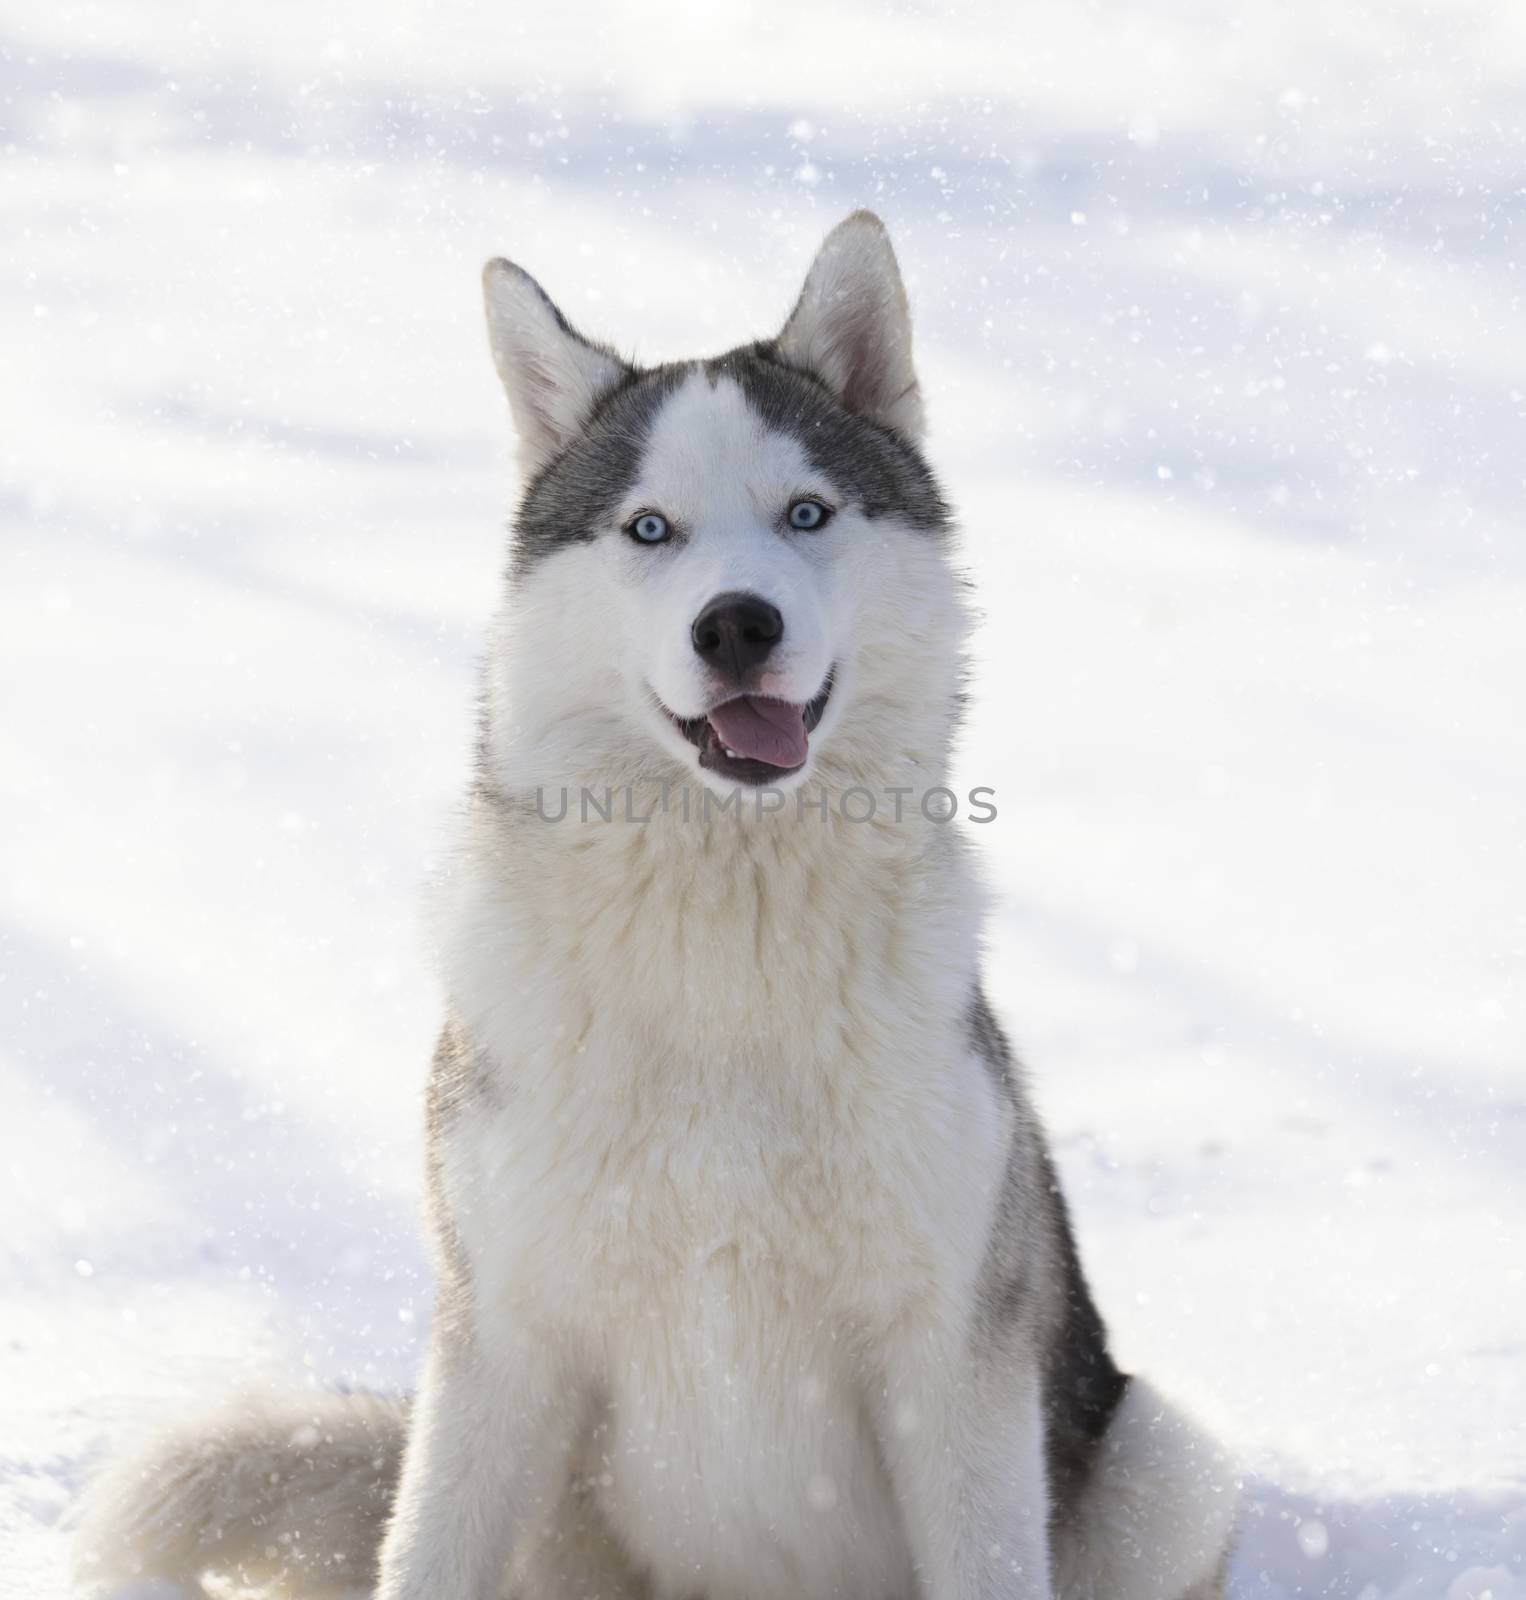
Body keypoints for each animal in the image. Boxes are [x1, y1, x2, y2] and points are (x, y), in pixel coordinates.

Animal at [74, 216, 1234, 1600]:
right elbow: (427, 1552)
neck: (721, 925)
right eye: (647, 528)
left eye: (805, 512)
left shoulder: (949, 1359)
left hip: (1174, 1462)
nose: (736, 624)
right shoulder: (499, 1340)